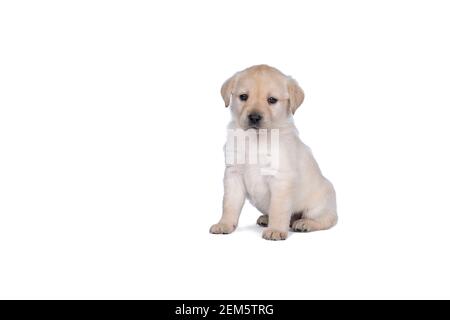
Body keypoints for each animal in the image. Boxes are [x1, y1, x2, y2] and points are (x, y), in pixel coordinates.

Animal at [211, 65, 338, 240]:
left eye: (272, 100)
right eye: (243, 97)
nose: (254, 117)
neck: (256, 139)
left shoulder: (281, 179)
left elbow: (278, 209)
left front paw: (276, 230)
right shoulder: (233, 174)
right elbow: (229, 204)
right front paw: (224, 224)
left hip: (320, 202)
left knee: (328, 219)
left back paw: (305, 223)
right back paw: (266, 218)